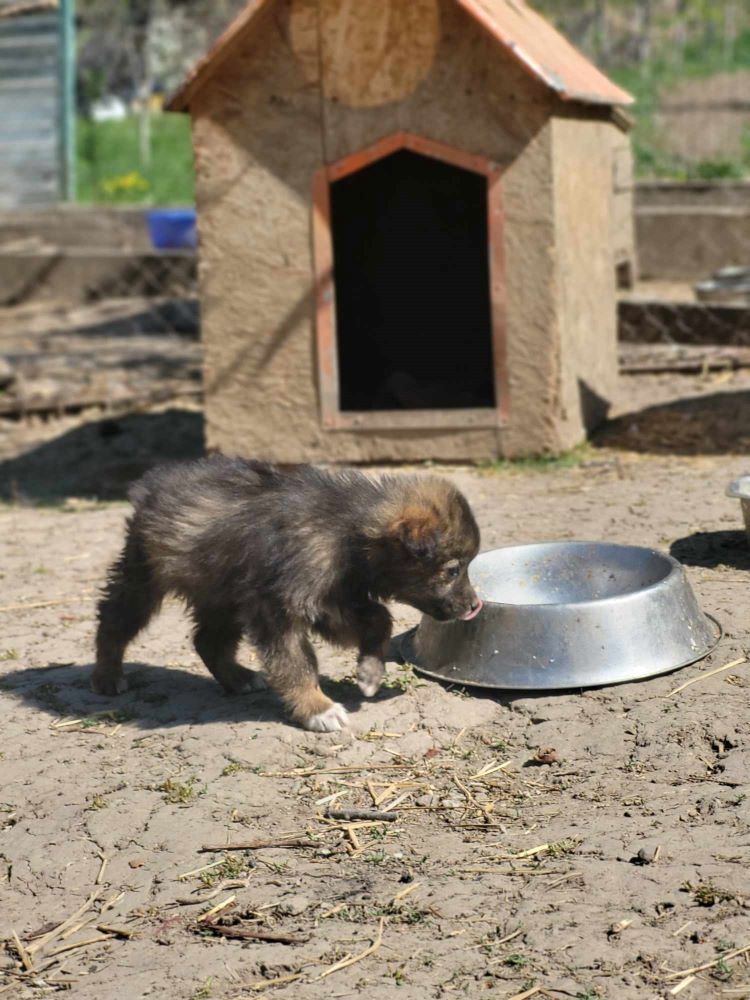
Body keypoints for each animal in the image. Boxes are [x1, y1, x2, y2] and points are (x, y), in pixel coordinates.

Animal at [94, 458, 482, 732]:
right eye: (452, 570)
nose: (475, 606)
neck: (346, 533)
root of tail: (154, 485)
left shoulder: (334, 599)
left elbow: (379, 619)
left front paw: (370, 672)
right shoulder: (279, 609)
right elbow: (296, 664)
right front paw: (317, 708)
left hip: (224, 595)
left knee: (207, 640)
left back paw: (238, 678)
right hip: (144, 577)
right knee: (112, 621)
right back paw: (108, 675)